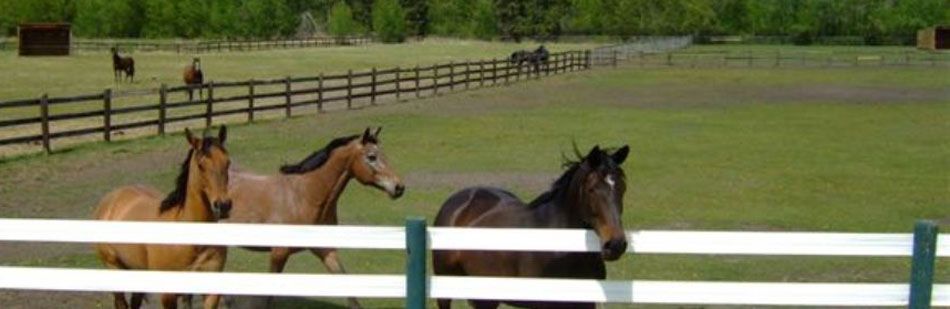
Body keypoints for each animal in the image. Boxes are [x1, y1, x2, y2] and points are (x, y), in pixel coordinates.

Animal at [93, 125, 234, 308]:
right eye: (201, 165)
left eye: (227, 162)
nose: (223, 206)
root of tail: (110, 200)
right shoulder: (168, 295)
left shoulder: (210, 292)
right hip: (114, 268)